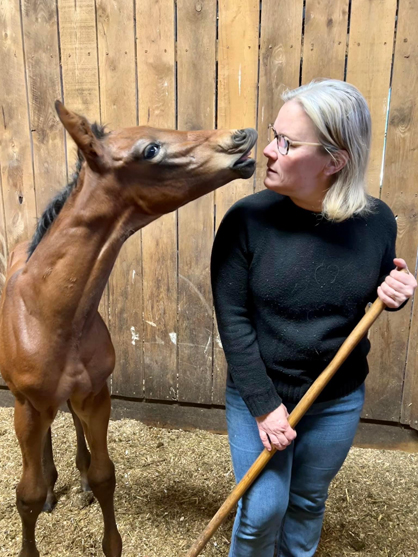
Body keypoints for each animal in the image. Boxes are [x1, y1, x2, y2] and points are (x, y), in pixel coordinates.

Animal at [0, 101, 258, 556]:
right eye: (150, 150)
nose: (241, 136)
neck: (49, 314)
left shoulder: (96, 394)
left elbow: (105, 476)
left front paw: (92, 491)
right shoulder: (27, 406)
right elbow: (25, 496)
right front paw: (41, 498)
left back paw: (76, 483)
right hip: (25, 404)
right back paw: (51, 488)